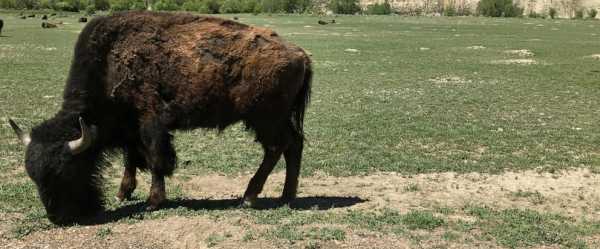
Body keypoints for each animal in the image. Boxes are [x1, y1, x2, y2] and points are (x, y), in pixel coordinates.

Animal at [10, 11, 314, 225]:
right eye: (33, 176)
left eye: (67, 170)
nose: (59, 218)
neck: (108, 62)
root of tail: (301, 54)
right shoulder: (129, 129)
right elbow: (132, 159)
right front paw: (123, 193)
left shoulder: (151, 124)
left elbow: (156, 160)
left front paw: (153, 201)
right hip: (276, 119)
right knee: (294, 145)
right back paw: (287, 196)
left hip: (265, 119)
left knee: (277, 147)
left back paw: (250, 197)